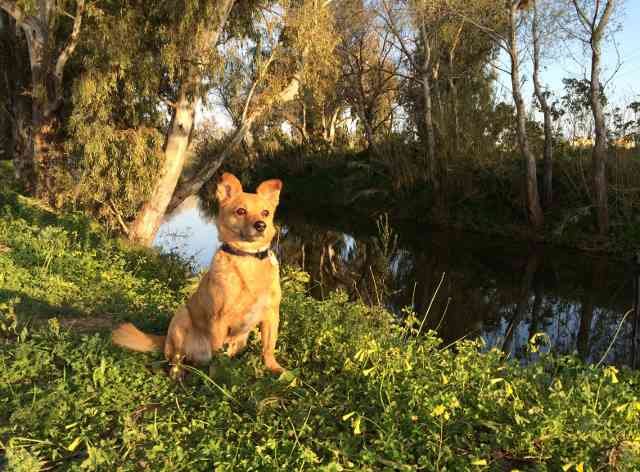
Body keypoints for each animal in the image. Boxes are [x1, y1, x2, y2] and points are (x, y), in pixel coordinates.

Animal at [112, 173, 284, 376]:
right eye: (241, 211)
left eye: (265, 213)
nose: (260, 225)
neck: (248, 258)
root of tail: (164, 340)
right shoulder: (219, 319)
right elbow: (218, 355)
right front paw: (218, 375)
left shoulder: (272, 315)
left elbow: (268, 347)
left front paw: (275, 368)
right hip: (181, 318)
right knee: (177, 358)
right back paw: (177, 374)